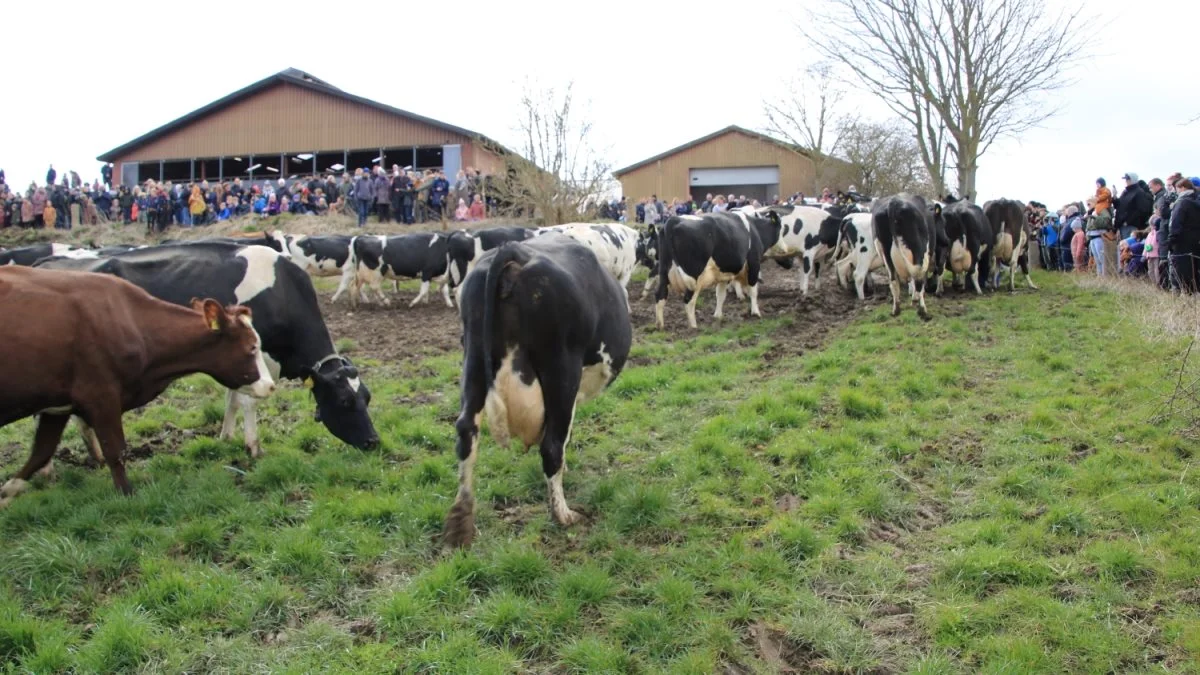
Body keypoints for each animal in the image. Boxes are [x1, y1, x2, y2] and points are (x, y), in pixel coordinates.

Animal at [0, 265, 274, 506]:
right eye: (252, 347)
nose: (270, 386)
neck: (130, 322)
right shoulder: (101, 397)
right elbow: (115, 451)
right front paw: (127, 494)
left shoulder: (57, 406)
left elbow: (41, 451)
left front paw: (8, 491)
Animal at [37, 239, 376, 454]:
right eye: (344, 400)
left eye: (367, 397)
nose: (374, 442)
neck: (281, 291)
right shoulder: (259, 356)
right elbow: (249, 401)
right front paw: (254, 447)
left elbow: (233, 399)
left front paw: (226, 437)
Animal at [441, 233, 628, 547]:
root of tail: (514, 251)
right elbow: (562, 438)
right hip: (561, 366)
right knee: (551, 445)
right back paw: (563, 514)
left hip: (473, 356)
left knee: (466, 431)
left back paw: (461, 523)